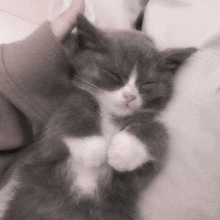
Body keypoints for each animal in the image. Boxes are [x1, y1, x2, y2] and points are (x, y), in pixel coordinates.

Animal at [1, 15, 194, 220]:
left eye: (147, 84)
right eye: (113, 74)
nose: (130, 96)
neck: (112, 115)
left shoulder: (137, 177)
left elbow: (158, 131)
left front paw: (124, 152)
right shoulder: (48, 140)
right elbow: (72, 110)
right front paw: (92, 149)